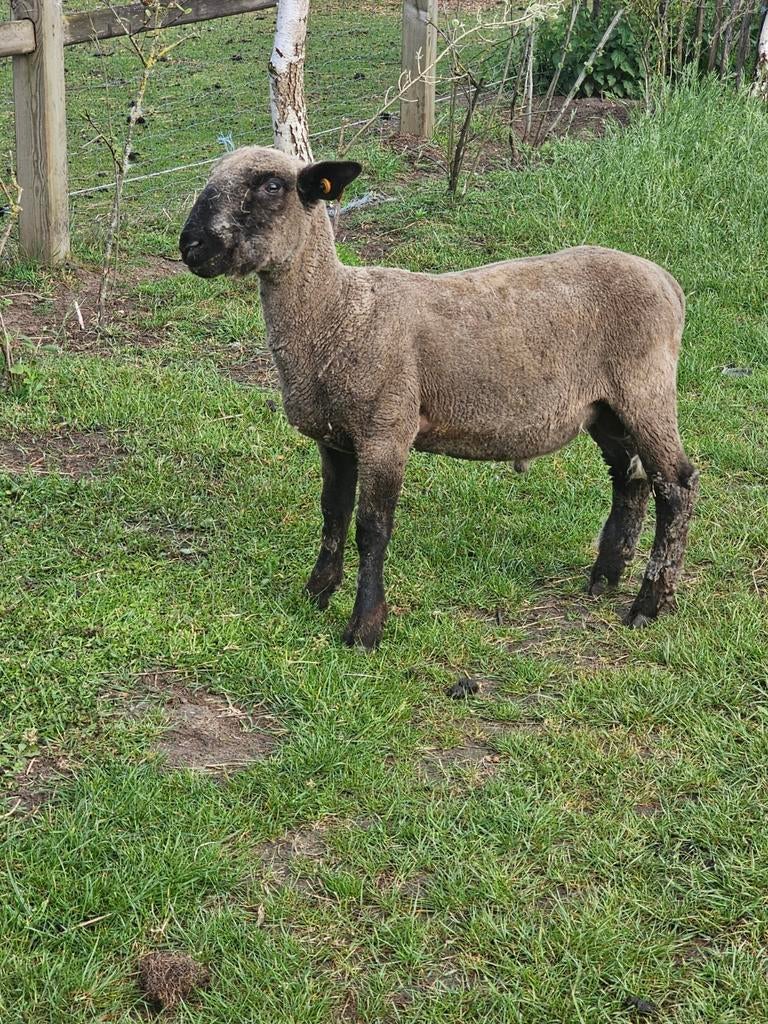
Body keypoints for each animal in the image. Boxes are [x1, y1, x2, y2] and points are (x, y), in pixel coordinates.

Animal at [180, 146, 699, 650]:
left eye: (272, 186)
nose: (191, 246)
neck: (341, 311)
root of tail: (668, 283)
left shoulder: (386, 430)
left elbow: (372, 529)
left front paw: (364, 630)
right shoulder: (335, 436)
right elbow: (333, 515)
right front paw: (316, 594)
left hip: (645, 388)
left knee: (676, 485)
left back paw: (649, 604)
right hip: (604, 407)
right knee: (631, 477)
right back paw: (606, 578)